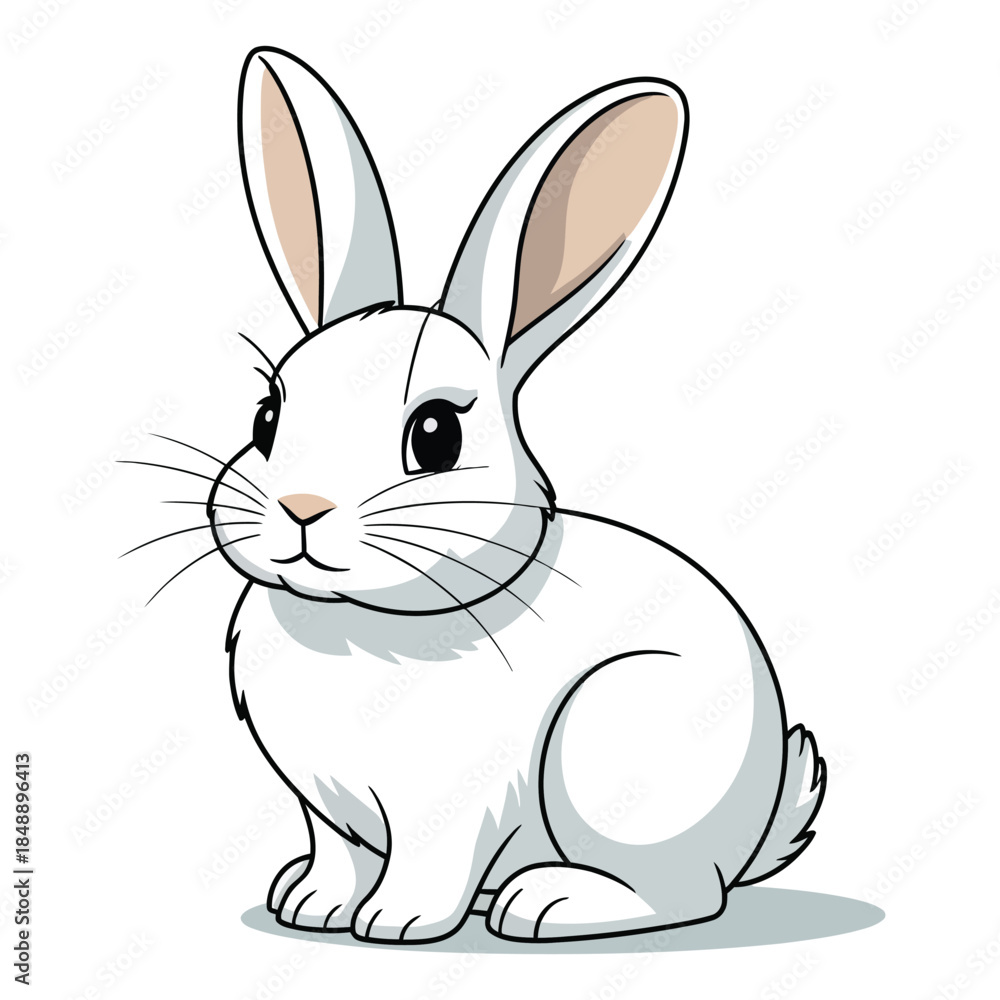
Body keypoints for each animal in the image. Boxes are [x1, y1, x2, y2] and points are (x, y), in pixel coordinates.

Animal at [202, 47, 827, 944]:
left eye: (435, 436)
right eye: (265, 417)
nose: (303, 510)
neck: (359, 621)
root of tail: (752, 824)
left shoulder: (451, 806)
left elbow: (425, 865)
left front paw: (393, 923)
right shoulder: (329, 814)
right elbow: (336, 857)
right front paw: (310, 906)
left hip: (611, 758)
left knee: (680, 895)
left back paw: (546, 903)